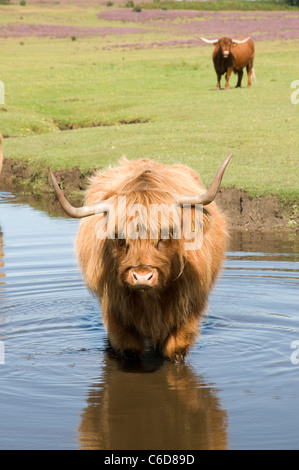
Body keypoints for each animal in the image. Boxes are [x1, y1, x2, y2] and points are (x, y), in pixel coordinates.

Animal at [50, 154, 232, 360]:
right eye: (120, 237)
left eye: (165, 234)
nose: (142, 277)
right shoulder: (115, 312)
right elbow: (129, 348)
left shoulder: (188, 307)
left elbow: (175, 348)